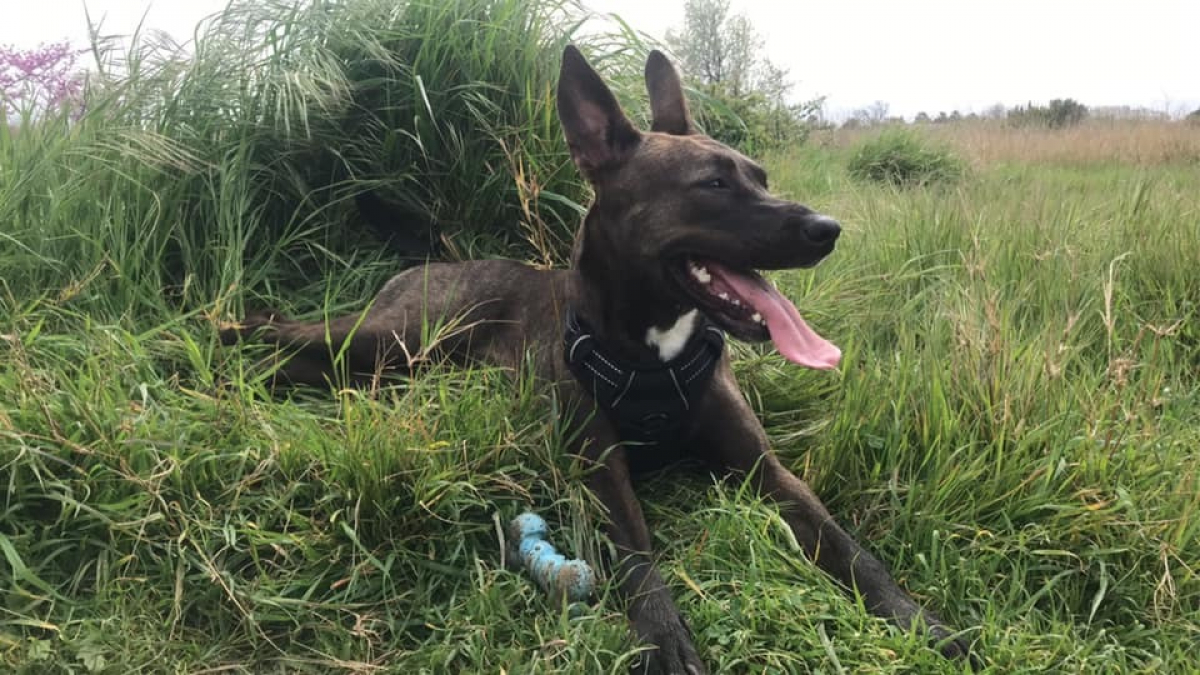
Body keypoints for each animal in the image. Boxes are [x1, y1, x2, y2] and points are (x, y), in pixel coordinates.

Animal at [225, 45, 974, 667]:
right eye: (712, 184)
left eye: (760, 176)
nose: (828, 229)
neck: (656, 351)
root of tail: (439, 260)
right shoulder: (600, 469)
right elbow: (638, 554)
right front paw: (665, 638)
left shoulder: (767, 468)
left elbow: (849, 547)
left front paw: (922, 621)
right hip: (396, 336)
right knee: (287, 334)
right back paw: (226, 348)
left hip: (399, 362)